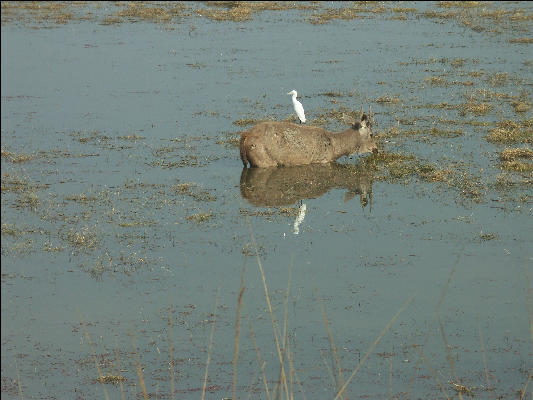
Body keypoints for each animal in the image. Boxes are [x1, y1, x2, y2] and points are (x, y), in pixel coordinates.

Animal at [239, 108, 376, 167]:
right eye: (371, 134)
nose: (376, 149)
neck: (336, 148)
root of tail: (246, 135)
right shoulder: (321, 160)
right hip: (263, 158)